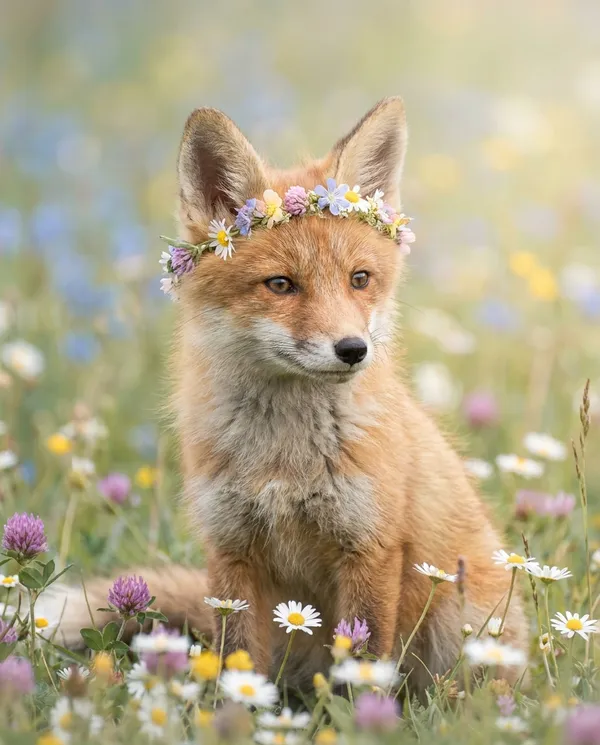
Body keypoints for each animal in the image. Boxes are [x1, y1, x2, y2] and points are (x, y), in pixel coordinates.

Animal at [46, 97, 528, 693]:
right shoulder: (230, 549)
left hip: (463, 626)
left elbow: (362, 659)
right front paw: (233, 708)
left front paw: (360, 711)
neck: (284, 460)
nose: (353, 349)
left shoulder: (369, 549)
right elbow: (234, 660)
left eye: (360, 279)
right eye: (281, 285)